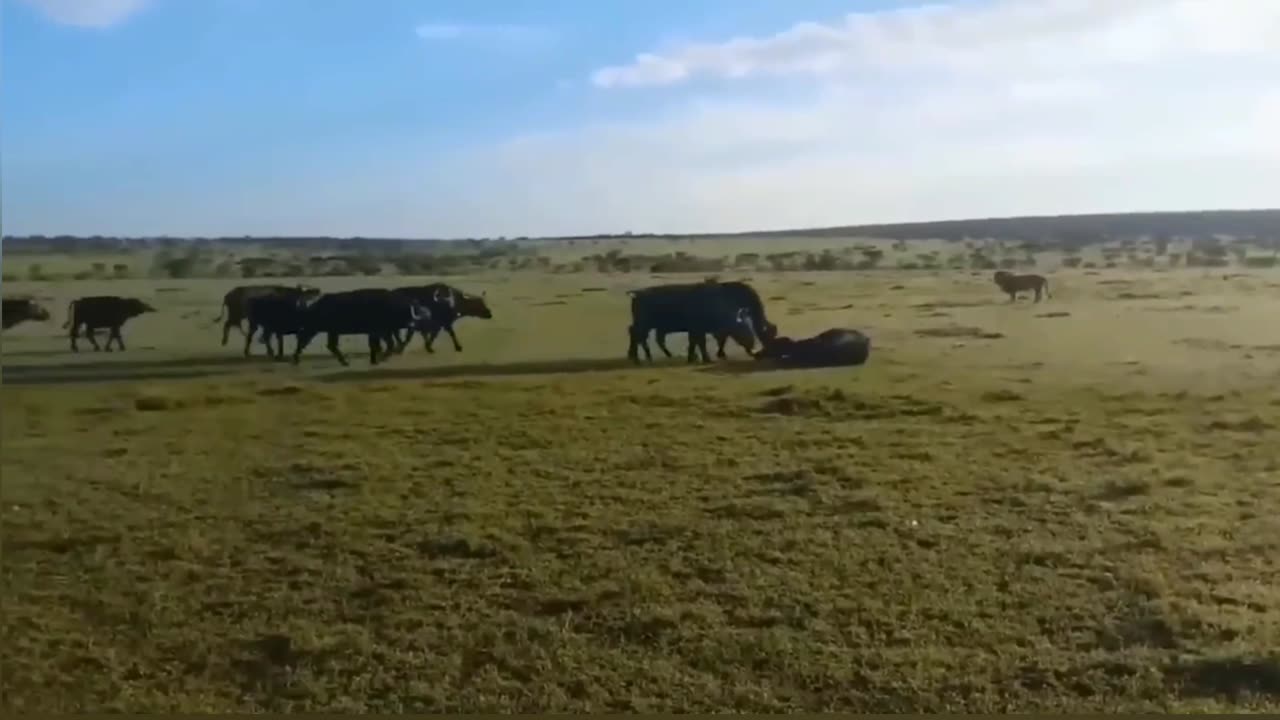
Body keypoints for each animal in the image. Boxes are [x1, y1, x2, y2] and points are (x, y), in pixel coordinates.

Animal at [290, 285, 430, 363]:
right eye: (416, 308)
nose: (427, 313)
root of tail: (314, 305)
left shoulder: (382, 332)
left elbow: (385, 345)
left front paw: (379, 356)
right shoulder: (381, 331)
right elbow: (388, 345)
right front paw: (381, 357)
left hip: (328, 331)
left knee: (328, 345)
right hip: (318, 329)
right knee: (305, 340)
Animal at [622, 278, 773, 361]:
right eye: (744, 329)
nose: (752, 346)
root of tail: (636, 294)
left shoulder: (700, 330)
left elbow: (697, 343)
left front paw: (694, 357)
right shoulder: (699, 329)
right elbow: (702, 343)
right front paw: (706, 358)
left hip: (648, 326)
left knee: (642, 336)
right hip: (644, 325)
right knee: (638, 335)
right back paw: (640, 357)